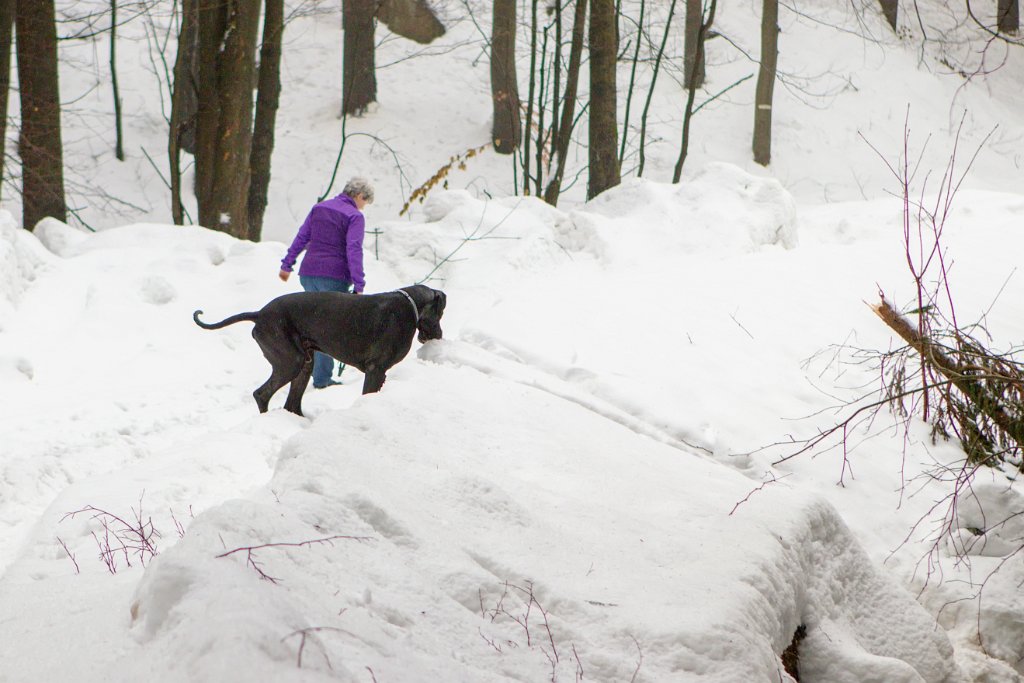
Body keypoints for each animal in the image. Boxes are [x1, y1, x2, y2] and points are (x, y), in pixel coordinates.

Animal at [193, 284, 446, 417]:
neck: (411, 305)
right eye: (441, 313)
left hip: (305, 363)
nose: (440, 335)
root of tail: (260, 314)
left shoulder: (380, 373)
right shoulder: (375, 370)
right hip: (290, 361)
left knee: (291, 404)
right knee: (261, 394)